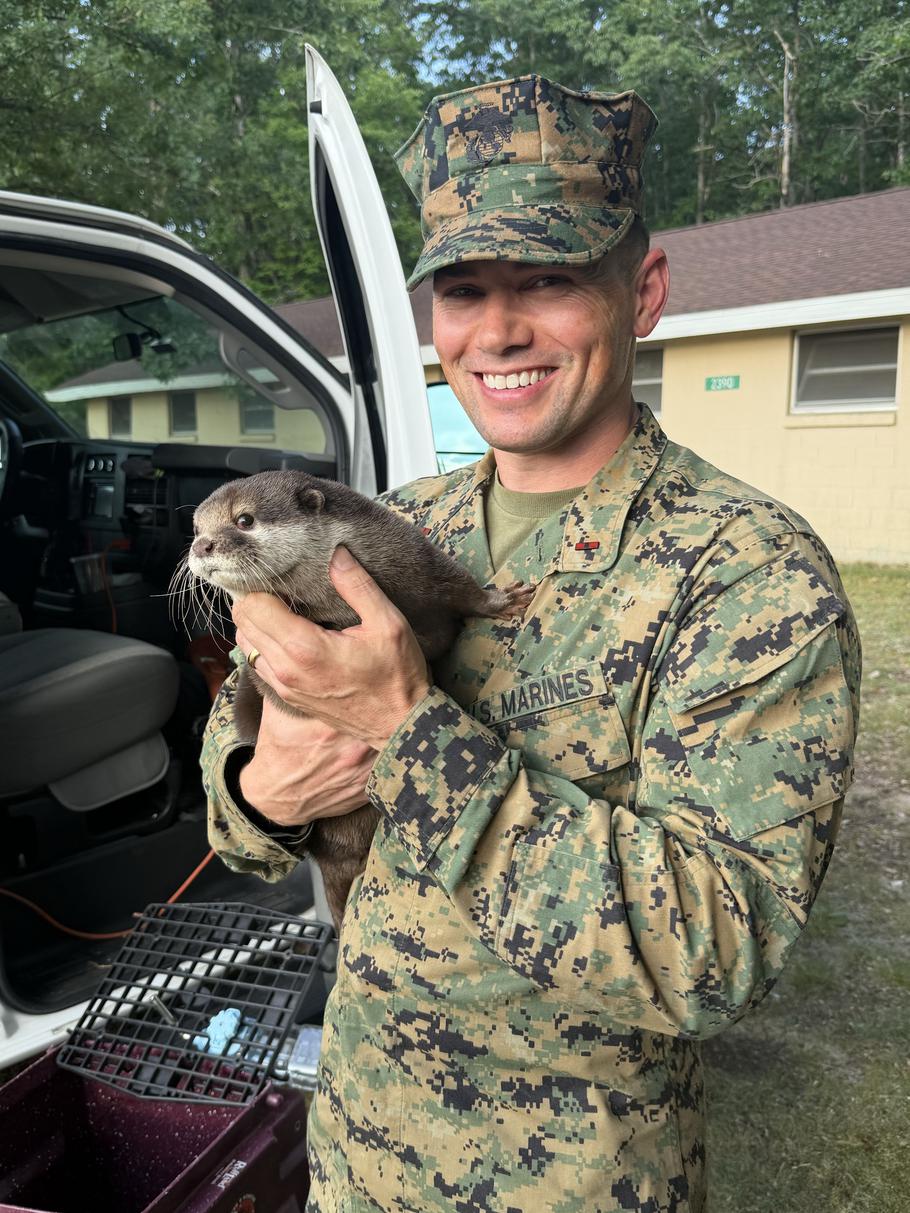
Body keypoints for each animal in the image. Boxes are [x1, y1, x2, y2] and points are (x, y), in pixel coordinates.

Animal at [183, 469, 533, 931]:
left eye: (244, 520)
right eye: (196, 528)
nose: (202, 545)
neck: (332, 595)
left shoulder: (414, 560)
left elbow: (460, 588)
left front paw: (501, 601)